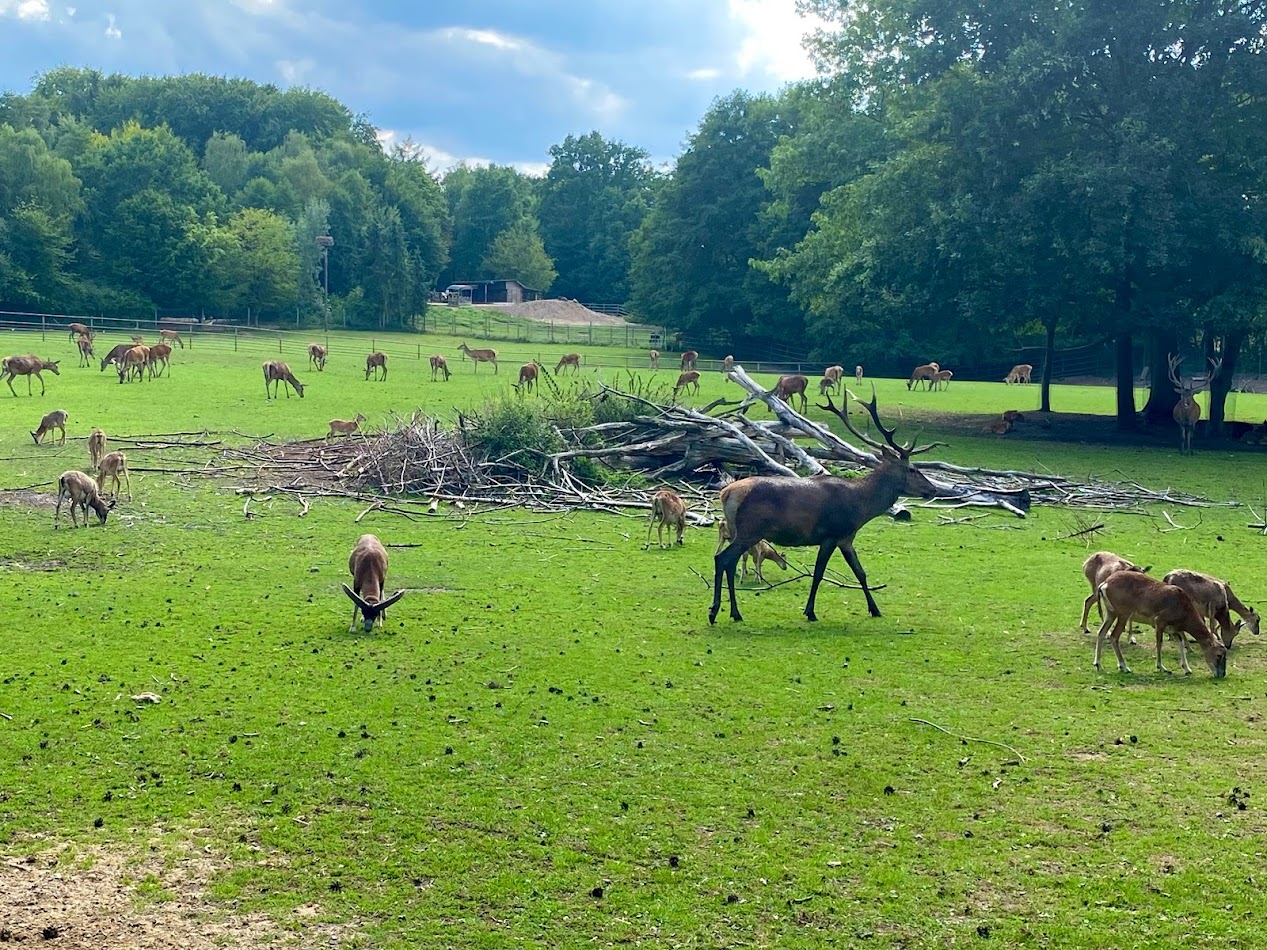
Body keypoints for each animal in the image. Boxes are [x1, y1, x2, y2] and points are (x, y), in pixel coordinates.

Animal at [711, 391, 943, 624]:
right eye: (912, 469)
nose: (933, 489)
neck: (860, 509)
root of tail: (725, 493)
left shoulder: (846, 538)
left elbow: (860, 572)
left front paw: (875, 609)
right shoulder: (830, 535)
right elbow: (819, 573)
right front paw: (810, 612)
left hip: (741, 531)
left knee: (729, 561)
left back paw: (731, 612)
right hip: (750, 529)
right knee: (723, 558)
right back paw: (720, 612)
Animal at [1093, 570, 1227, 678]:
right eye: (1219, 655)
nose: (1222, 674)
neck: (1182, 607)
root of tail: (1104, 584)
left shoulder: (1174, 629)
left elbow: (1181, 644)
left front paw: (1187, 669)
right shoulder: (1159, 622)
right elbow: (1159, 644)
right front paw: (1162, 667)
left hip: (1111, 613)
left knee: (1101, 632)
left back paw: (1098, 664)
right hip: (1123, 615)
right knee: (1114, 636)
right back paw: (1124, 667)